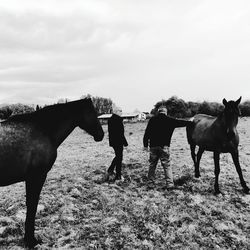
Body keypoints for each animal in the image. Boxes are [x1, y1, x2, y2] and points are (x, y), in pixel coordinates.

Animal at [0, 98, 104, 248]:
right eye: (92, 113)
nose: (101, 135)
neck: (43, 130)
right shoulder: (37, 177)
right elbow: (32, 206)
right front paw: (31, 240)